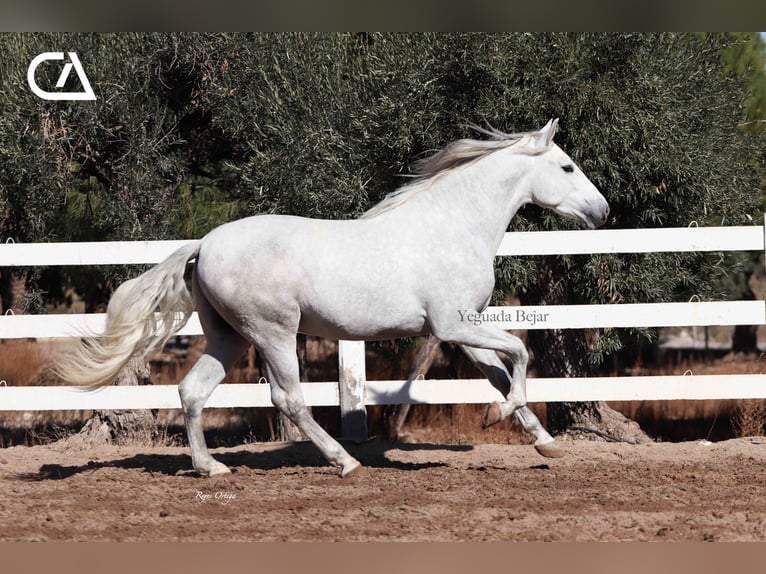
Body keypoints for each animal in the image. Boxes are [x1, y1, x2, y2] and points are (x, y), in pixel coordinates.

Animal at [57, 119, 612, 480]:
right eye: (567, 167)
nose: (603, 212)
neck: (451, 227)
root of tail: (206, 243)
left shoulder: (461, 329)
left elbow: (501, 372)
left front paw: (544, 443)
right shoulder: (454, 326)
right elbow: (521, 353)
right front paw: (499, 418)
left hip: (229, 338)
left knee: (192, 391)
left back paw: (211, 468)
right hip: (273, 334)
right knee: (289, 399)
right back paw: (345, 462)